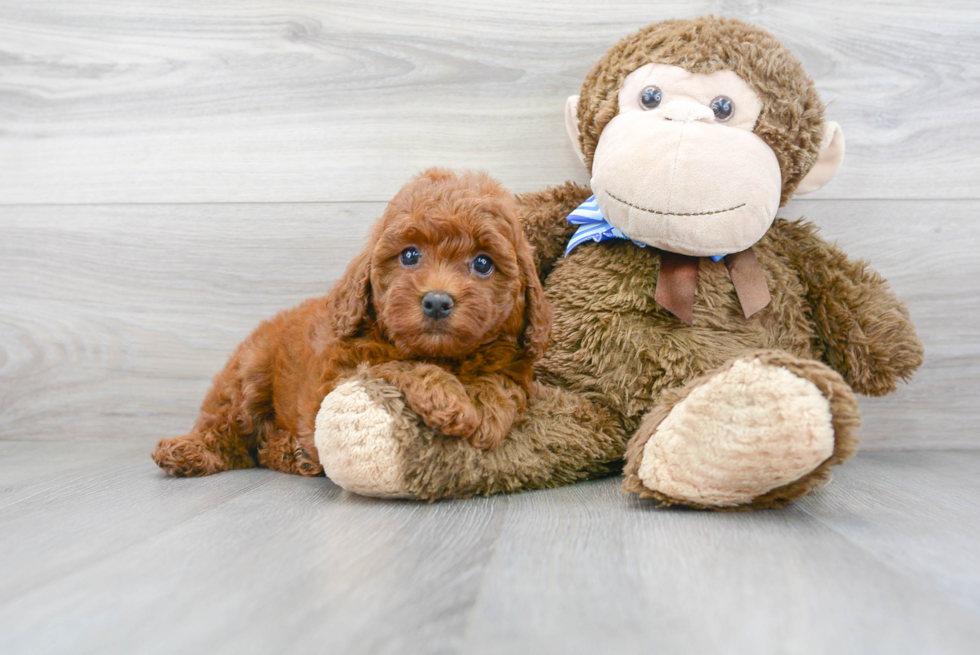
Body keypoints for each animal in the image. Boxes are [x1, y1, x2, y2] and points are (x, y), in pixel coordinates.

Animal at [153, 168, 552, 476]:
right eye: (410, 255)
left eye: (483, 263)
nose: (437, 301)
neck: (445, 356)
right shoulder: (337, 378)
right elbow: (400, 364)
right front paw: (449, 399)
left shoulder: (514, 366)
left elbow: (502, 383)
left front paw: (485, 411)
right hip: (248, 376)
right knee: (229, 430)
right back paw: (187, 451)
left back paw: (290, 452)